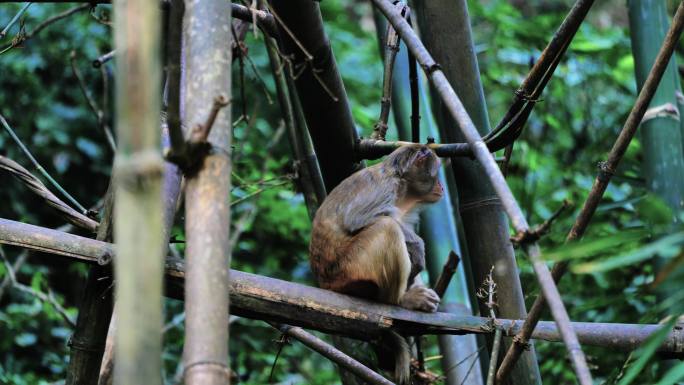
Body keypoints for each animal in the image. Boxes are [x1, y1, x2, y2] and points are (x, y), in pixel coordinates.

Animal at [310, 143, 444, 380]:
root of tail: (325, 284)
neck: (402, 189)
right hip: (349, 270)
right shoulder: (385, 188)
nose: (442, 186)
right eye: (436, 174)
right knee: (386, 227)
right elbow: (360, 219)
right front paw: (418, 244)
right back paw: (400, 301)